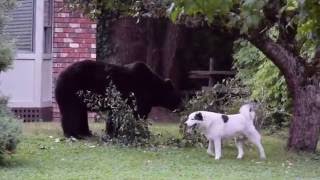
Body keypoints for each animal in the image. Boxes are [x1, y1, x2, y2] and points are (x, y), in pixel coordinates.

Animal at [53, 60, 181, 138]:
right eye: (178, 98)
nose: (181, 107)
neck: (153, 89)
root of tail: (59, 76)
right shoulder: (138, 95)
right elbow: (138, 114)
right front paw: (141, 132)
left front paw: (113, 132)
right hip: (72, 90)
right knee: (72, 112)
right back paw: (73, 134)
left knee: (80, 113)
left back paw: (86, 132)